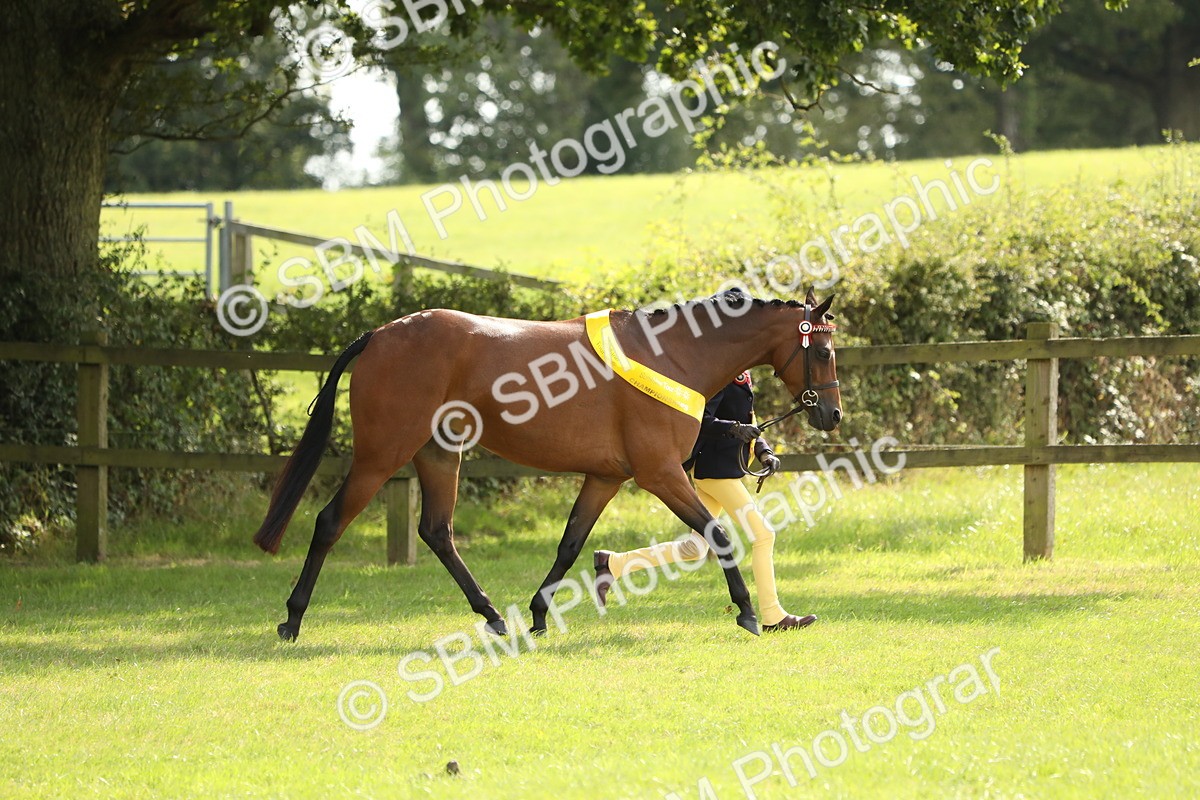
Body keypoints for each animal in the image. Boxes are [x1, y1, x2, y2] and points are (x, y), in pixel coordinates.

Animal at [253, 287, 841, 640]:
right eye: (824, 351)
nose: (832, 414)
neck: (671, 354)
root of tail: (379, 334)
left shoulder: (606, 477)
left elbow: (570, 543)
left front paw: (539, 613)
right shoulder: (660, 475)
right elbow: (717, 534)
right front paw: (748, 613)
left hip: (439, 454)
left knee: (437, 531)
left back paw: (493, 616)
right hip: (382, 455)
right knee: (331, 522)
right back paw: (292, 619)